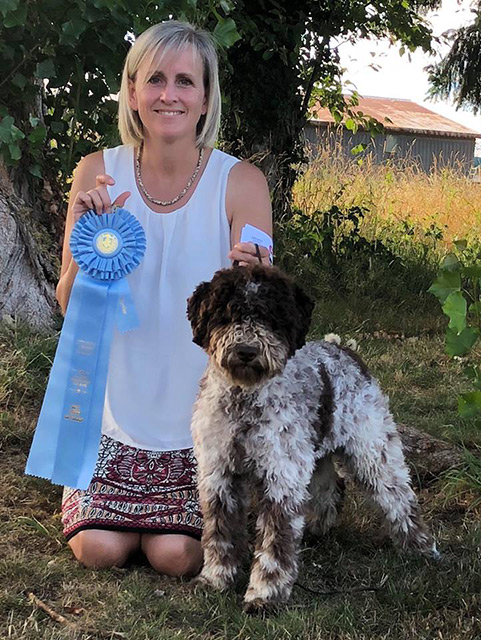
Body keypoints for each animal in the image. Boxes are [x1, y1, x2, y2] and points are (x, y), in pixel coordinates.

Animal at [186, 264, 436, 616]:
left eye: (270, 318)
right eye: (227, 314)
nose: (247, 351)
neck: (245, 400)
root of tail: (344, 350)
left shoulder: (281, 476)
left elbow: (275, 541)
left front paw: (265, 594)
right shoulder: (219, 473)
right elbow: (220, 531)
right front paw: (216, 578)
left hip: (373, 452)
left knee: (400, 499)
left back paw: (421, 548)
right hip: (316, 455)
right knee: (331, 486)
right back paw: (319, 527)